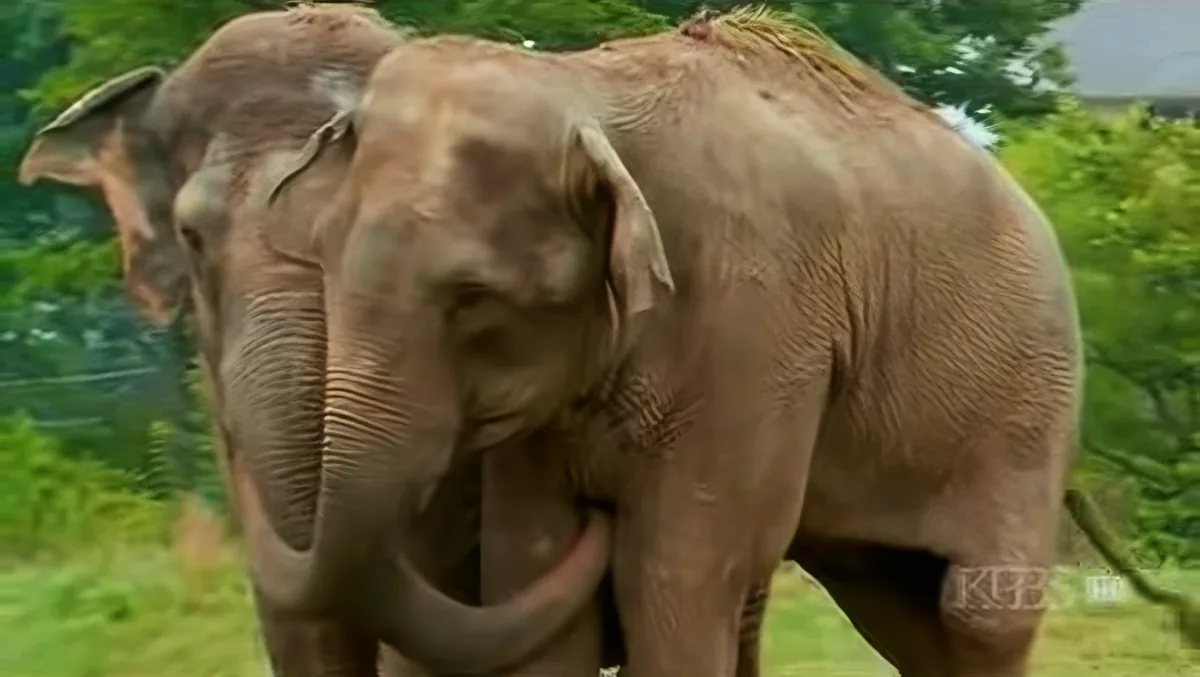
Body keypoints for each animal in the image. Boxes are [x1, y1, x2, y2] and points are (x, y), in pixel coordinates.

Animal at [262, 7, 1191, 677]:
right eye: (322, 258)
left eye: (472, 297)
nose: (602, 509)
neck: (585, 88)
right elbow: (532, 572)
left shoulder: (756, 328)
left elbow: (675, 575)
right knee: (899, 606)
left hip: (1026, 403)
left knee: (978, 613)